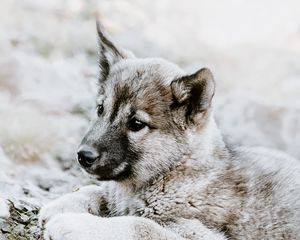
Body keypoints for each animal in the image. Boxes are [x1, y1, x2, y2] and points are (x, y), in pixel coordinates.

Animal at [39, 21, 300, 239]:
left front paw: (71, 222)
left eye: (136, 124)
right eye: (101, 109)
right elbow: (97, 190)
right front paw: (60, 205)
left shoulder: (197, 233)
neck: (174, 172)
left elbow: (138, 224)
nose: (83, 156)